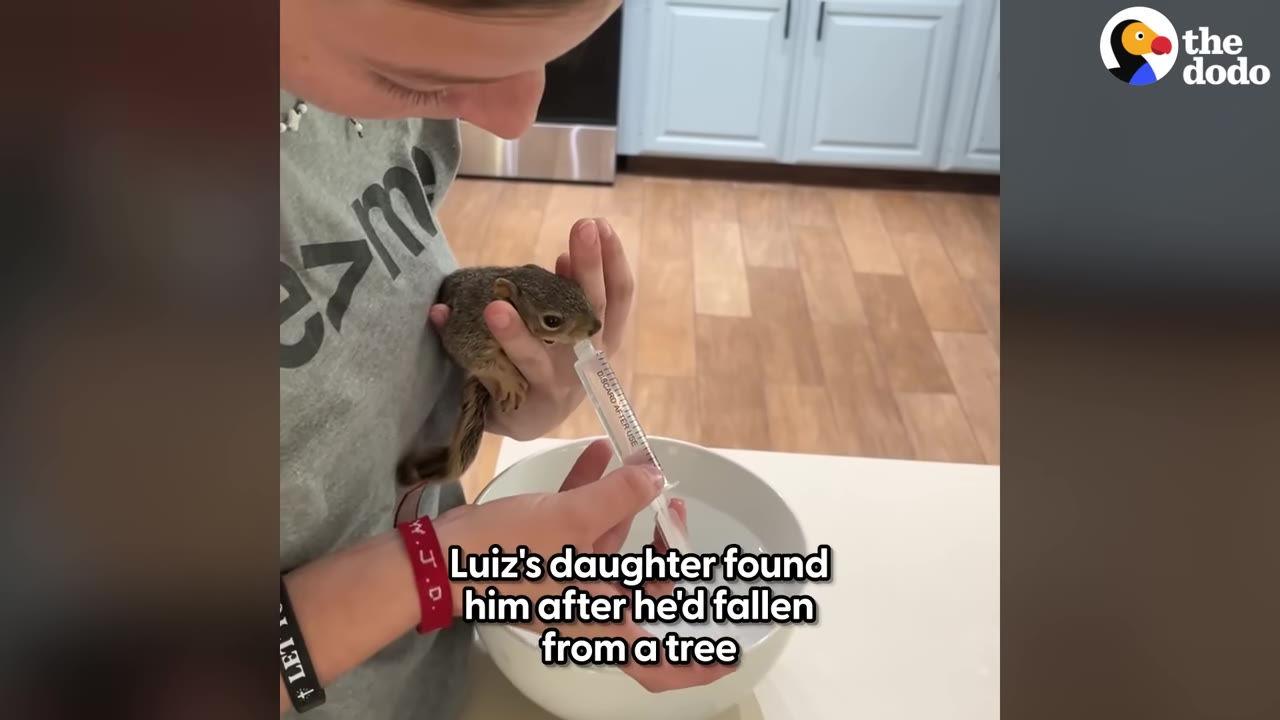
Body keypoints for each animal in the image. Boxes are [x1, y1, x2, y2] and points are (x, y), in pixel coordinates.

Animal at [396, 264, 603, 487]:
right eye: (552, 321)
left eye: (576, 287)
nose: (596, 326)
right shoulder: (468, 329)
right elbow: (476, 357)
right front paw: (510, 381)